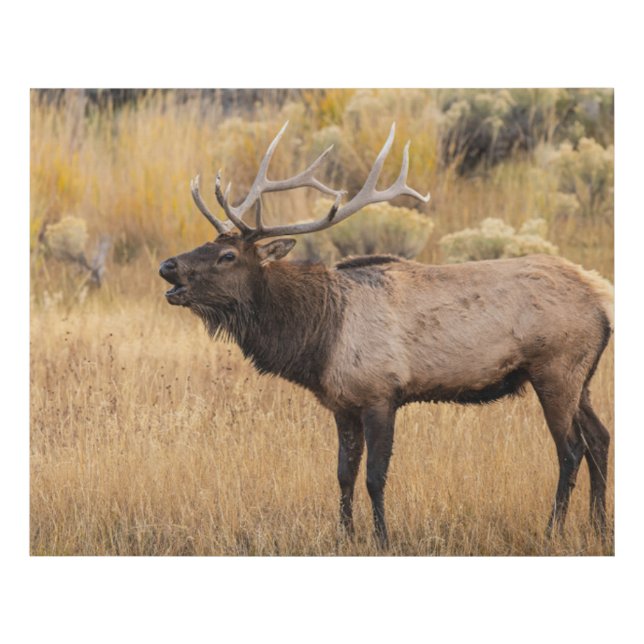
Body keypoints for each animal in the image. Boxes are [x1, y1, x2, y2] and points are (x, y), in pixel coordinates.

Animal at [159, 122, 613, 547]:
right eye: (205, 244)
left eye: (227, 255)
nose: (167, 266)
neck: (319, 337)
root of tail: (603, 300)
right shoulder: (342, 403)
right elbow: (343, 473)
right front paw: (345, 535)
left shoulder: (381, 393)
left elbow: (375, 476)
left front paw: (382, 537)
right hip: (581, 378)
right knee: (601, 438)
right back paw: (599, 526)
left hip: (555, 369)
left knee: (571, 450)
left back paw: (553, 530)